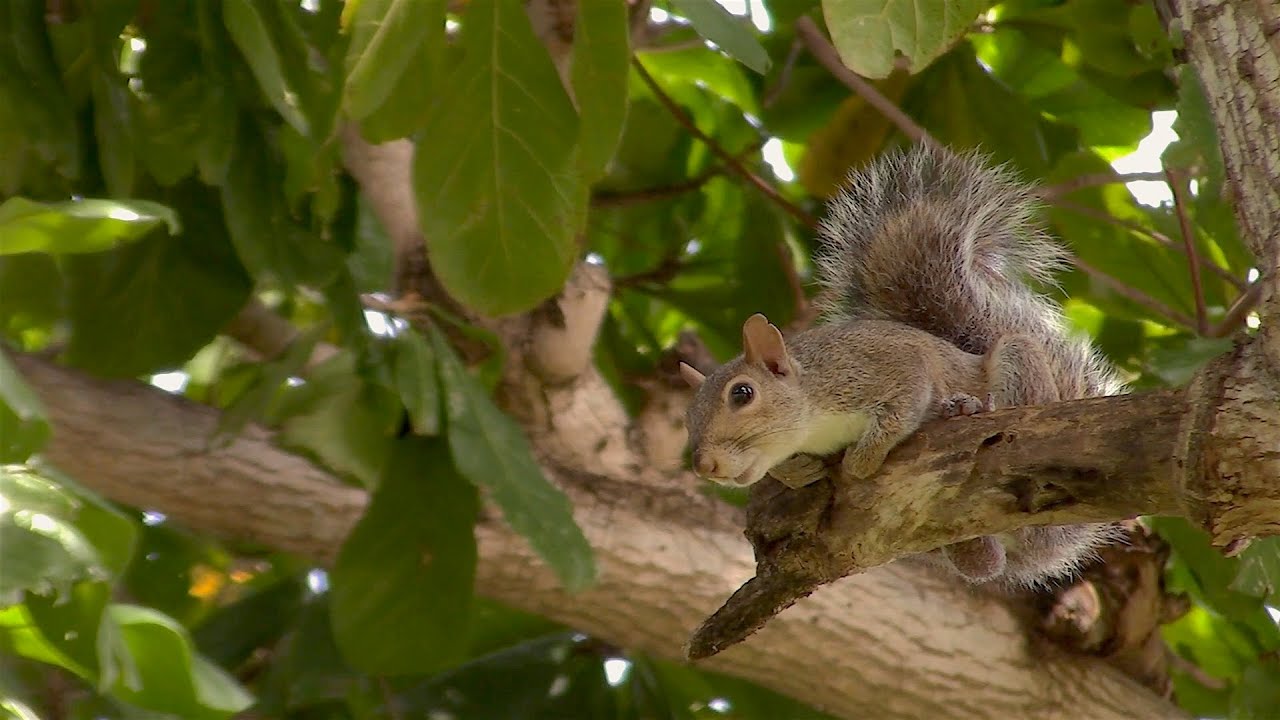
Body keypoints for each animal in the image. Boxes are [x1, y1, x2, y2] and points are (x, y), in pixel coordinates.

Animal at [679, 143, 1124, 587]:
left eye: (743, 393)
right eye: (688, 416)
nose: (705, 466)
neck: (813, 404)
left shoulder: (887, 368)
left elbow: (900, 411)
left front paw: (859, 462)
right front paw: (798, 471)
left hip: (1020, 366)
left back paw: (968, 407)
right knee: (983, 565)